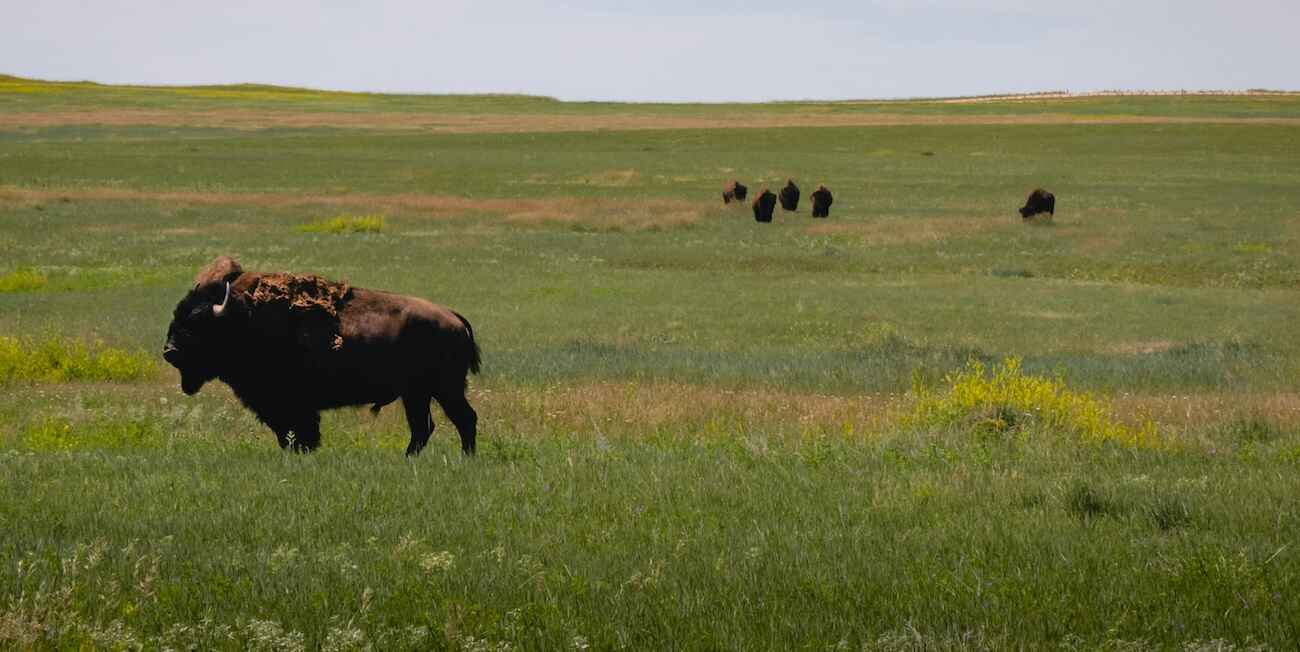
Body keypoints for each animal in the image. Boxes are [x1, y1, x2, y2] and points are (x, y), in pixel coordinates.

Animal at [162, 257, 483, 457]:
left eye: (198, 323)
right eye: (175, 317)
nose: (170, 351)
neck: (241, 318)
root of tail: (454, 318)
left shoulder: (290, 405)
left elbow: (298, 432)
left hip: (443, 389)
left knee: (463, 419)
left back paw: (464, 458)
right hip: (417, 394)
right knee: (423, 428)